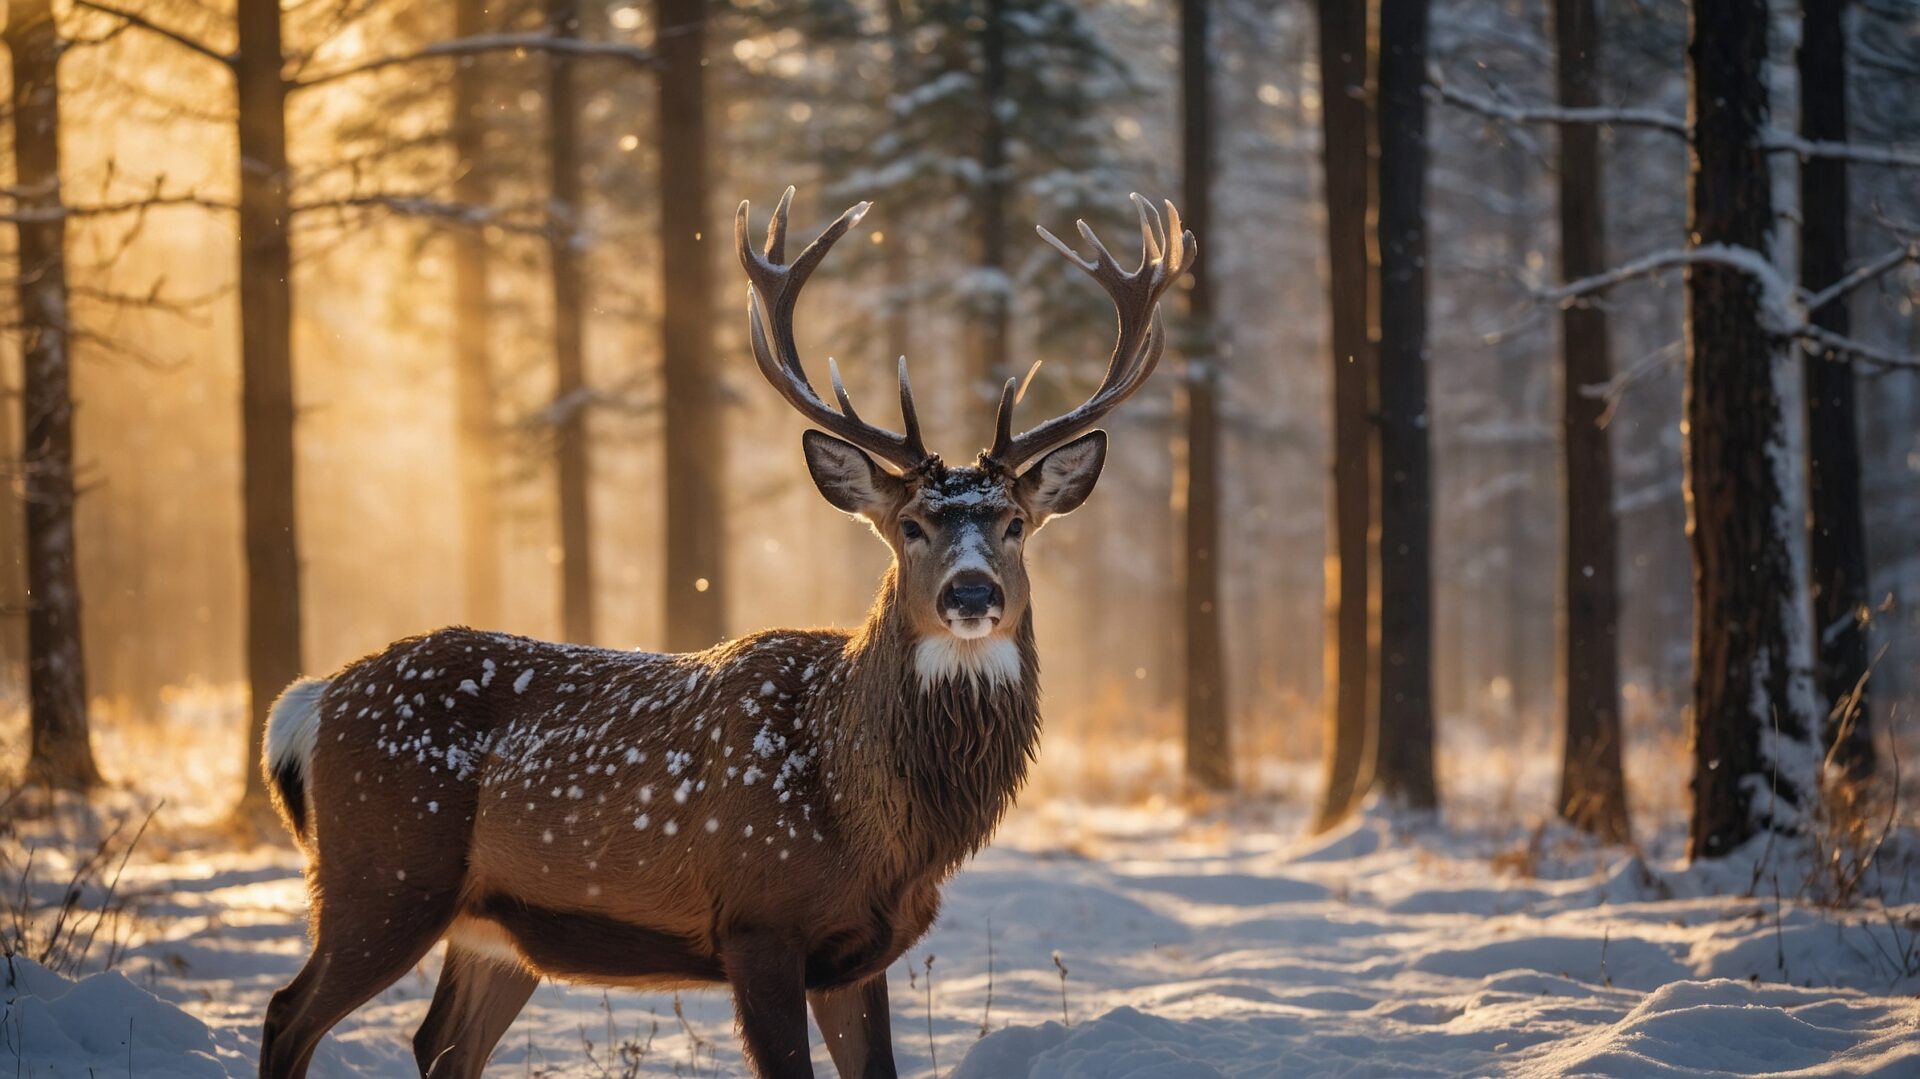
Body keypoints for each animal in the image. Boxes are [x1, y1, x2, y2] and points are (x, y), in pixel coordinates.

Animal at [256, 188, 1195, 1079]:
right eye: (911, 525)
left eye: (1014, 522)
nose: (973, 591)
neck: (867, 817)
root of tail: (310, 702)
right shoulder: (758, 919)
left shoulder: (858, 954)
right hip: (382, 873)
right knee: (286, 1012)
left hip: (495, 929)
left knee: (439, 1043)